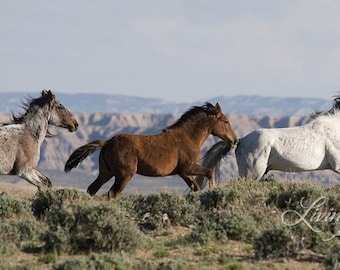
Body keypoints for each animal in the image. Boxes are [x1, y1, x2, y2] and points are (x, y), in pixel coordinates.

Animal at [65, 102, 238, 199]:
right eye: (226, 121)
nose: (235, 140)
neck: (189, 136)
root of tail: (107, 143)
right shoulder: (187, 168)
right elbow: (209, 172)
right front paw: (213, 191)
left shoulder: (184, 173)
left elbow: (196, 187)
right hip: (124, 175)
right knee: (113, 193)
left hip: (106, 173)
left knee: (92, 190)